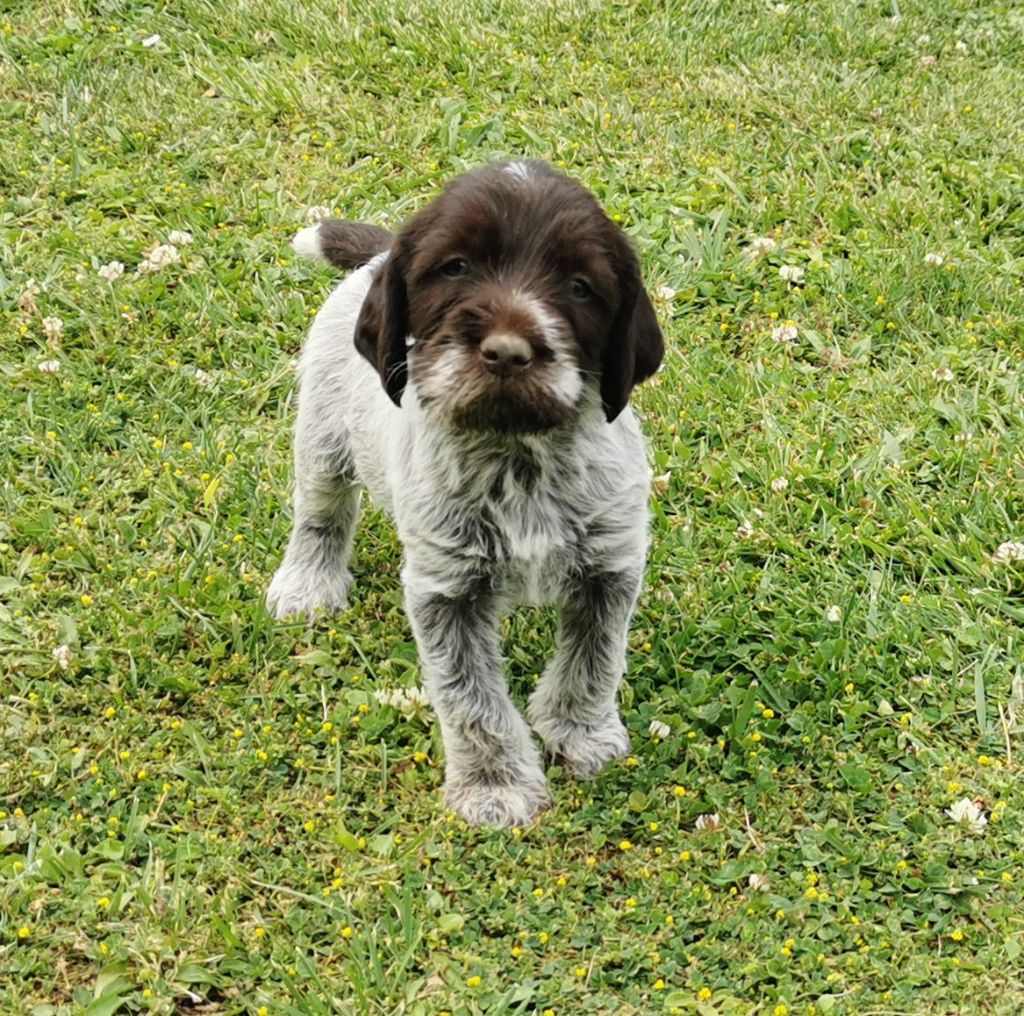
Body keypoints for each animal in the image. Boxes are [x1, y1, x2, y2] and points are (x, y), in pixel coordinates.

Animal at [264, 160, 663, 827]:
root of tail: (378, 257)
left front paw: (580, 733)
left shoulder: (609, 568)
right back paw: (308, 584)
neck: (518, 454)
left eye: (580, 286)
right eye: (455, 268)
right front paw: (494, 785)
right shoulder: (446, 591)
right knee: (320, 516)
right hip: (322, 439)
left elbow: (594, 661)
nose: (507, 352)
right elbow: (472, 700)